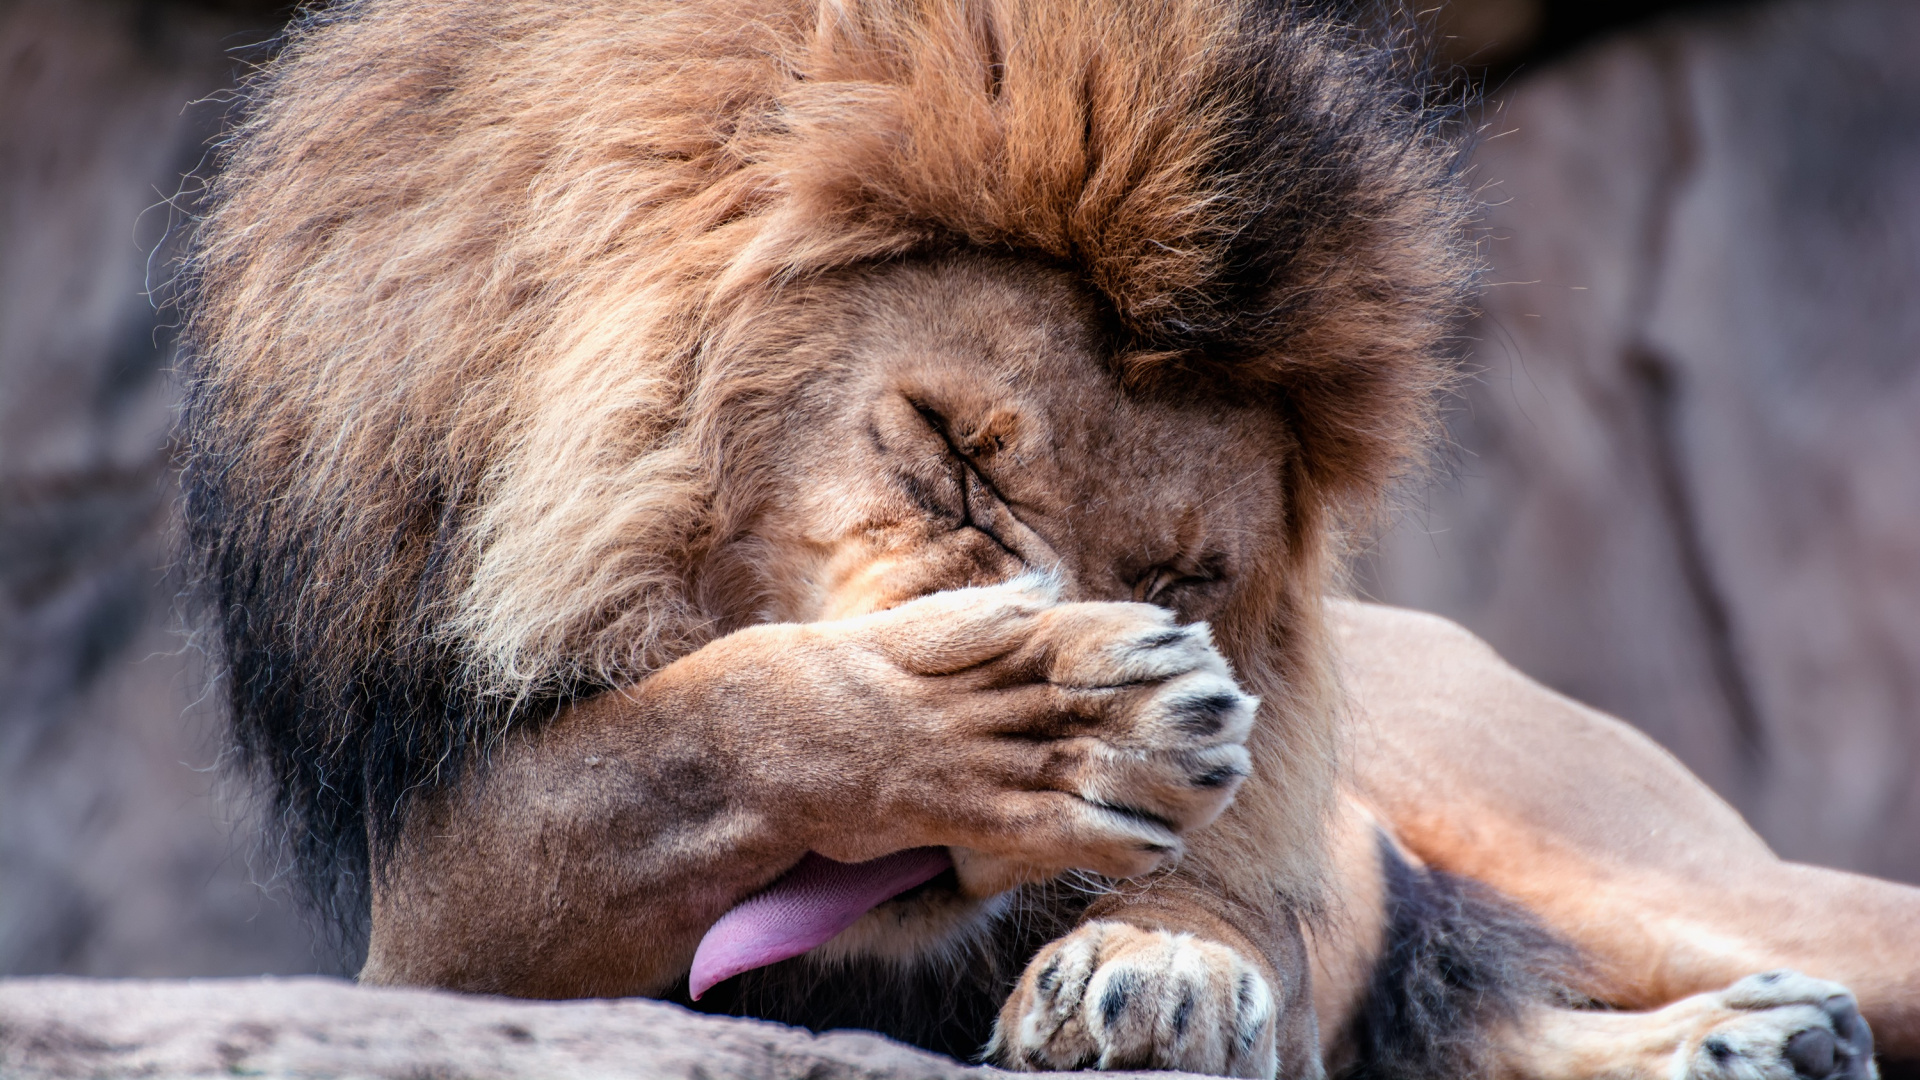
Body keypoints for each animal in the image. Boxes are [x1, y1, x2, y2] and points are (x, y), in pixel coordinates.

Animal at [178, 0, 1919, 1077]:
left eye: (1185, 578)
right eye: (952, 461)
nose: (1142, 656)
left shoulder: (1280, 813)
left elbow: (1244, 894)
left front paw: (1159, 959)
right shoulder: (429, 921)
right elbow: (687, 732)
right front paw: (1043, 713)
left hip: (1645, 859)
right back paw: (1748, 1041)